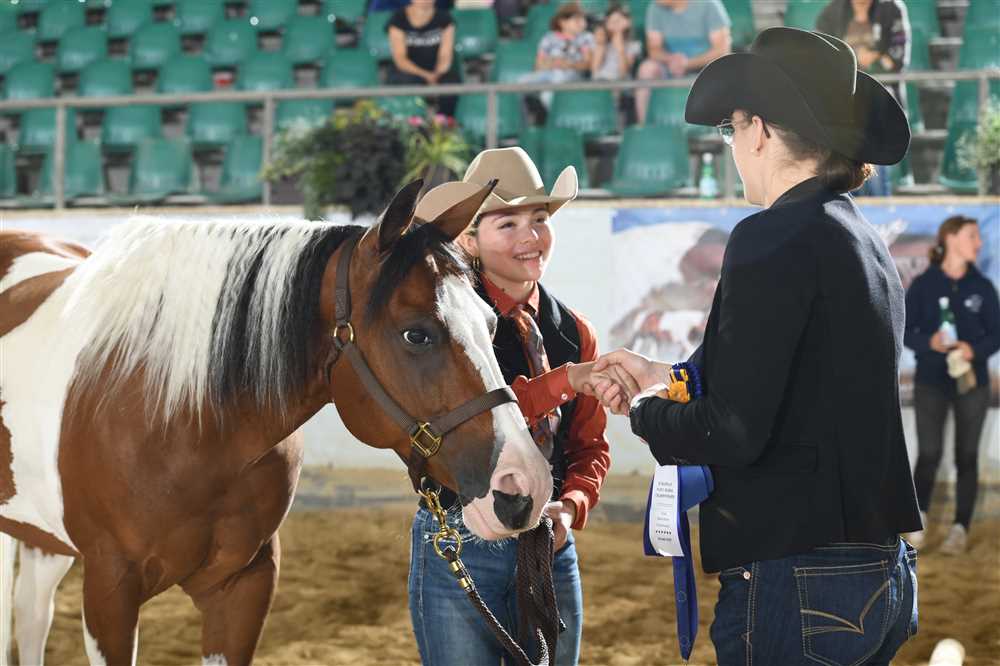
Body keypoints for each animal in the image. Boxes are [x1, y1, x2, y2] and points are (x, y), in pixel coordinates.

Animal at [0, 179, 553, 666]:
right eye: (416, 334)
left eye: (491, 322)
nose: (524, 487)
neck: (180, 418)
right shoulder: (109, 592)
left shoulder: (244, 586)